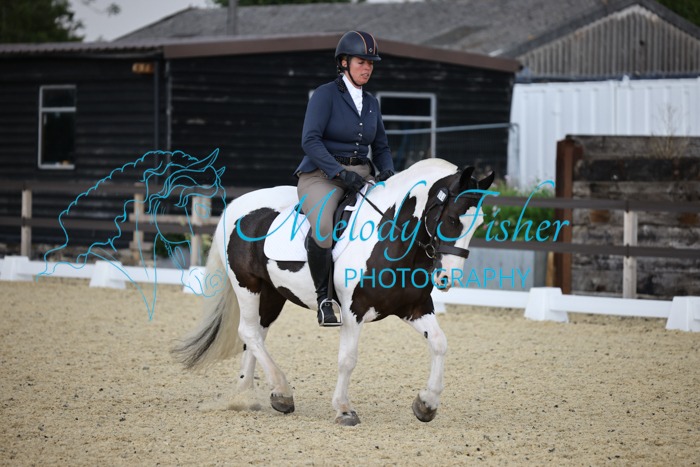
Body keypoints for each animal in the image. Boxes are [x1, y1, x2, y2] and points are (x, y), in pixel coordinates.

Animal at [172, 158, 494, 425]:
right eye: (452, 219)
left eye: (479, 222)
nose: (446, 277)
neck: (389, 237)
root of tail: (237, 204)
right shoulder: (353, 311)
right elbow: (347, 359)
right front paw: (344, 410)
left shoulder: (414, 308)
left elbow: (439, 343)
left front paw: (426, 404)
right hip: (247, 284)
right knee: (249, 332)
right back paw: (281, 391)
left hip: (272, 293)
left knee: (257, 334)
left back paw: (247, 396)